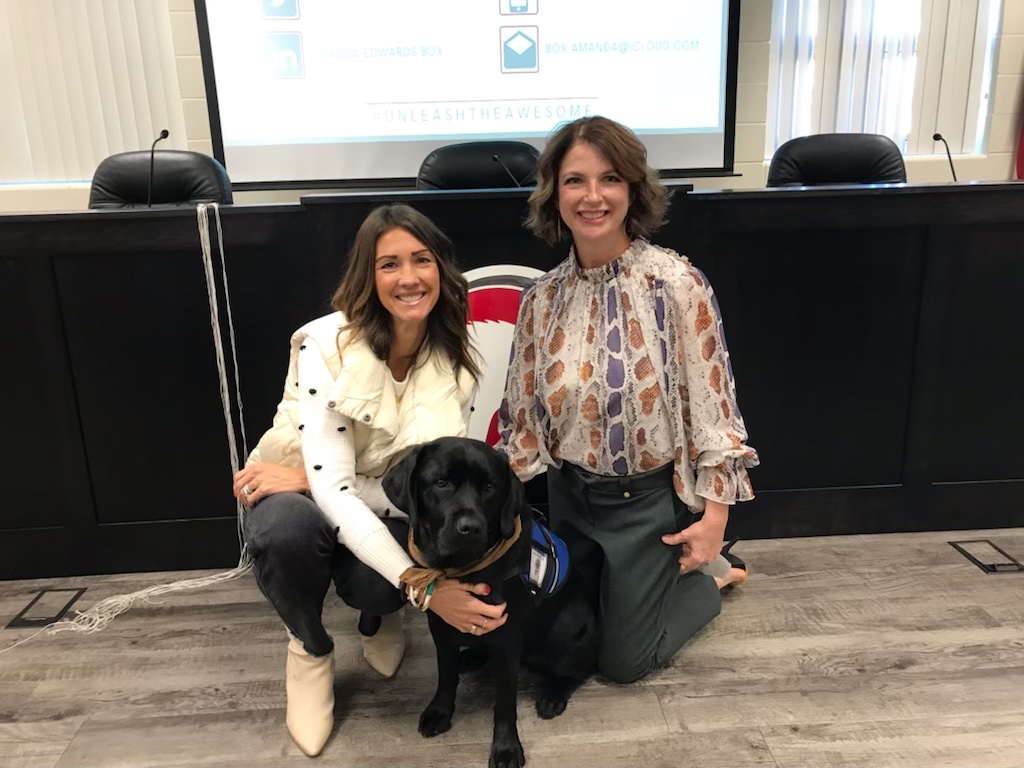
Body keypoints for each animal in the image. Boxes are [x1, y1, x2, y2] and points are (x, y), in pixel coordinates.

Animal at [382, 438, 598, 768]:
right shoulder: (440, 626)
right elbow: (446, 676)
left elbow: (504, 704)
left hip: (569, 625)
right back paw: (471, 656)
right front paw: (440, 711)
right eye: (441, 483)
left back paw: (553, 695)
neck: (466, 570)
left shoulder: (508, 639)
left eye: (489, 486)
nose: (469, 527)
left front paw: (506, 748)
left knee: (577, 669)